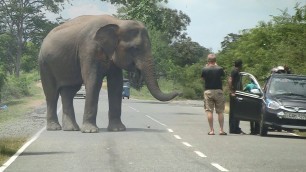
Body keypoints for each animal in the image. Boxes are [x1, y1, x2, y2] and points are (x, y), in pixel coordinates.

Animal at [38, 14, 179, 133]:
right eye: (135, 48)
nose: (178, 91)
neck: (118, 22)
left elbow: (116, 84)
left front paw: (118, 130)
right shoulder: (88, 49)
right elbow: (93, 81)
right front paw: (90, 131)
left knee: (69, 91)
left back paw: (71, 129)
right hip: (44, 64)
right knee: (52, 94)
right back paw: (54, 128)